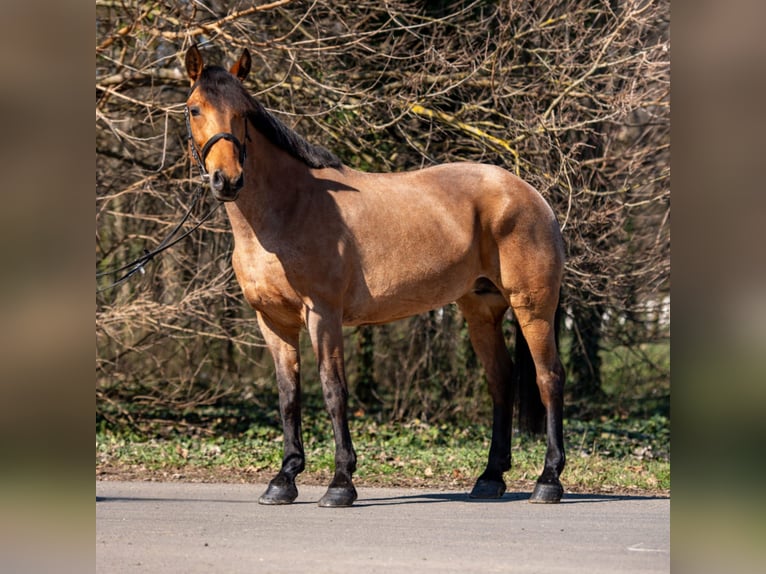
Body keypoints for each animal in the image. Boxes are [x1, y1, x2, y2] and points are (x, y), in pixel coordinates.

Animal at [183, 45, 566, 507]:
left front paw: (340, 483)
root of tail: (531, 195)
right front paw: (284, 479)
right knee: (502, 381)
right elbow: (288, 396)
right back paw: (490, 477)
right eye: (194, 109)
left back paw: (548, 480)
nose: (228, 180)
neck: (287, 209)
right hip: (481, 311)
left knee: (549, 379)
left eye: (242, 113)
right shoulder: (273, 322)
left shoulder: (323, 315)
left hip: (533, 308)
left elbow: (333, 391)